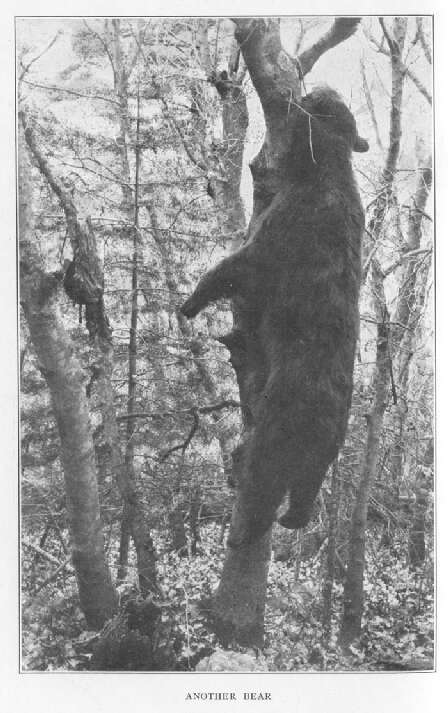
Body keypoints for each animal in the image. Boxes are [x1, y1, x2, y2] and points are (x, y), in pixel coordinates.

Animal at [181, 87, 368, 546]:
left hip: (280, 420)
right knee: (306, 486)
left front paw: (191, 303)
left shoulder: (282, 227)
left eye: (323, 105)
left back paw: (245, 527)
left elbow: (236, 268)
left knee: (265, 474)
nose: (320, 90)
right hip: (321, 454)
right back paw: (293, 518)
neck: (328, 170)